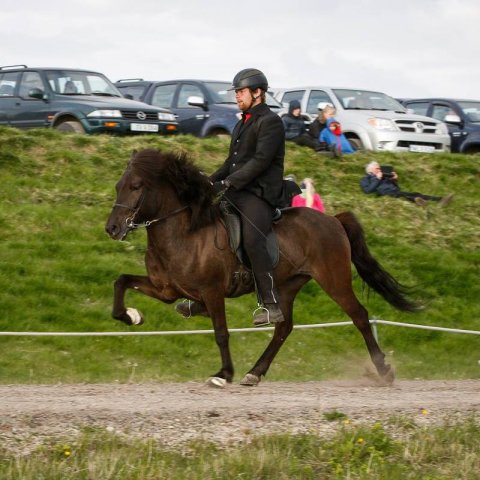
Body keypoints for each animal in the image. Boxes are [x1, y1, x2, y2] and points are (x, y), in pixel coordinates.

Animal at [106, 149, 420, 386]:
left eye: (136, 187)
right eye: (118, 186)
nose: (112, 229)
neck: (183, 232)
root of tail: (332, 219)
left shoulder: (212, 291)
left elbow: (221, 333)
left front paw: (223, 374)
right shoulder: (166, 290)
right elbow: (121, 281)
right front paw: (131, 316)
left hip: (334, 280)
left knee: (360, 317)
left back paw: (384, 371)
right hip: (287, 285)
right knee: (283, 327)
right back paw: (254, 373)